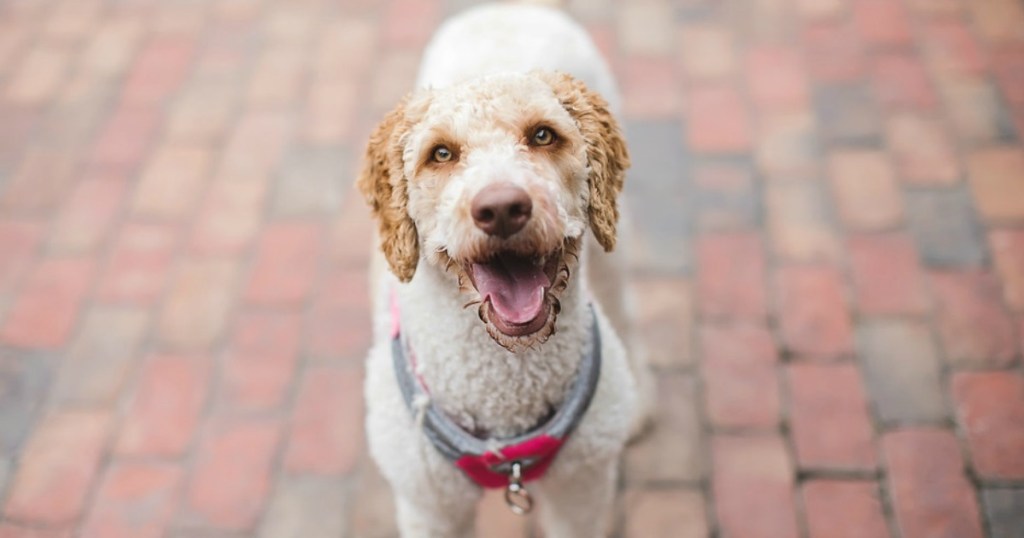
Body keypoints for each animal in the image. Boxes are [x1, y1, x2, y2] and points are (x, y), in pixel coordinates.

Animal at [356, 2, 651, 532]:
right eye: (441, 153)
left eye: (543, 135)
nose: (501, 208)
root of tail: (509, 8)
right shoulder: (429, 506)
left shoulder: (582, 493)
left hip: (613, 250)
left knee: (625, 309)